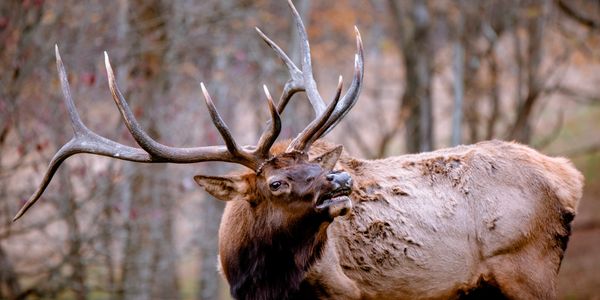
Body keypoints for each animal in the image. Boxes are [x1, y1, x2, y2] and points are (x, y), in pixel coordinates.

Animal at [12, 1, 584, 298]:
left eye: (314, 161)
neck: (261, 283)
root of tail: (569, 177)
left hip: (527, 272)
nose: (341, 181)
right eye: (276, 181)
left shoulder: (348, 292)